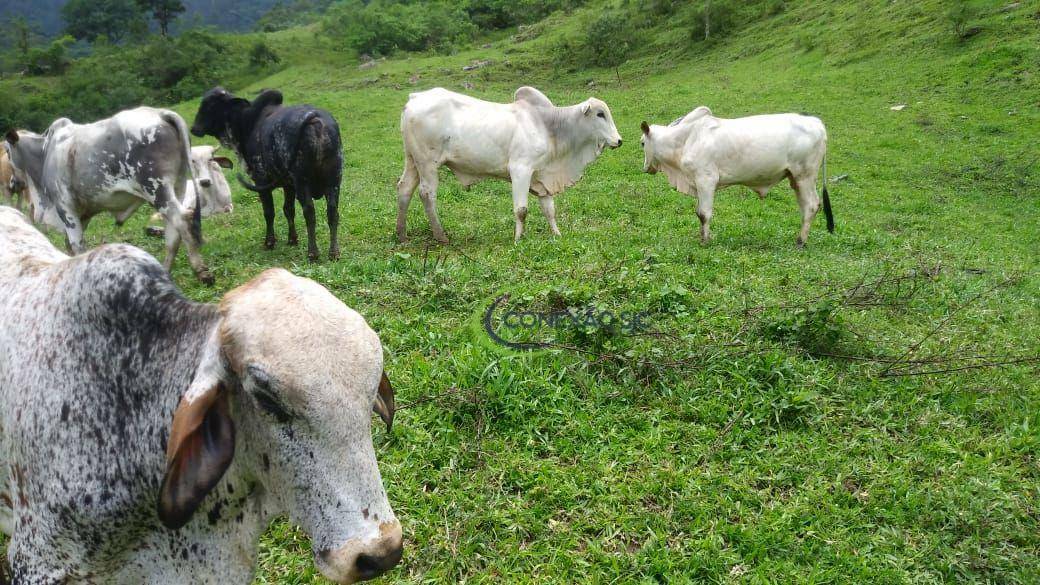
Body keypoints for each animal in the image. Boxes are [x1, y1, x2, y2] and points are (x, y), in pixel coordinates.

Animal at [191, 86, 345, 259]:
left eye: (209, 105)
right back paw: (334, 252)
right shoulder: (288, 185)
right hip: (334, 179)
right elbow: (288, 210)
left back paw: (313, 253)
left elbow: (269, 212)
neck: (246, 123)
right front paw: (292, 239)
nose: (194, 128)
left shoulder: (261, 180)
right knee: (332, 212)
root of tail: (315, 118)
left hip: (302, 181)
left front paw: (269, 242)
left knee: (309, 212)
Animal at [395, 85, 624, 242]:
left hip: (412, 160)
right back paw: (441, 236)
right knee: (427, 194)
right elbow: (521, 209)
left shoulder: (541, 175)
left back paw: (402, 234)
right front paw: (518, 239)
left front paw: (557, 234)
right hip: (428, 163)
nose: (619, 140)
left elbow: (549, 210)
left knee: (404, 188)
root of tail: (414, 98)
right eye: (600, 114)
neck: (548, 126)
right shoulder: (520, 170)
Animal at [636, 107, 832, 245]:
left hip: (805, 176)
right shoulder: (698, 183)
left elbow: (704, 213)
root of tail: (816, 123)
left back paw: (801, 241)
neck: (686, 139)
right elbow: (699, 212)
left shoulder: (706, 180)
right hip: (795, 179)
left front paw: (705, 241)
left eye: (642, 143)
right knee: (804, 207)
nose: (645, 168)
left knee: (812, 205)